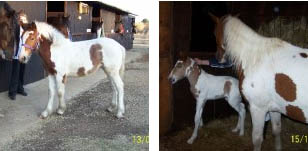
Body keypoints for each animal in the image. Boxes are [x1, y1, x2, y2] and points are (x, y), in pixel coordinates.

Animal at [212, 13, 308, 151]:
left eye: (215, 33)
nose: (218, 58)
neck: (256, 58)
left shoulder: (257, 108)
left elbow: (257, 139)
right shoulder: (274, 108)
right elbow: (276, 131)